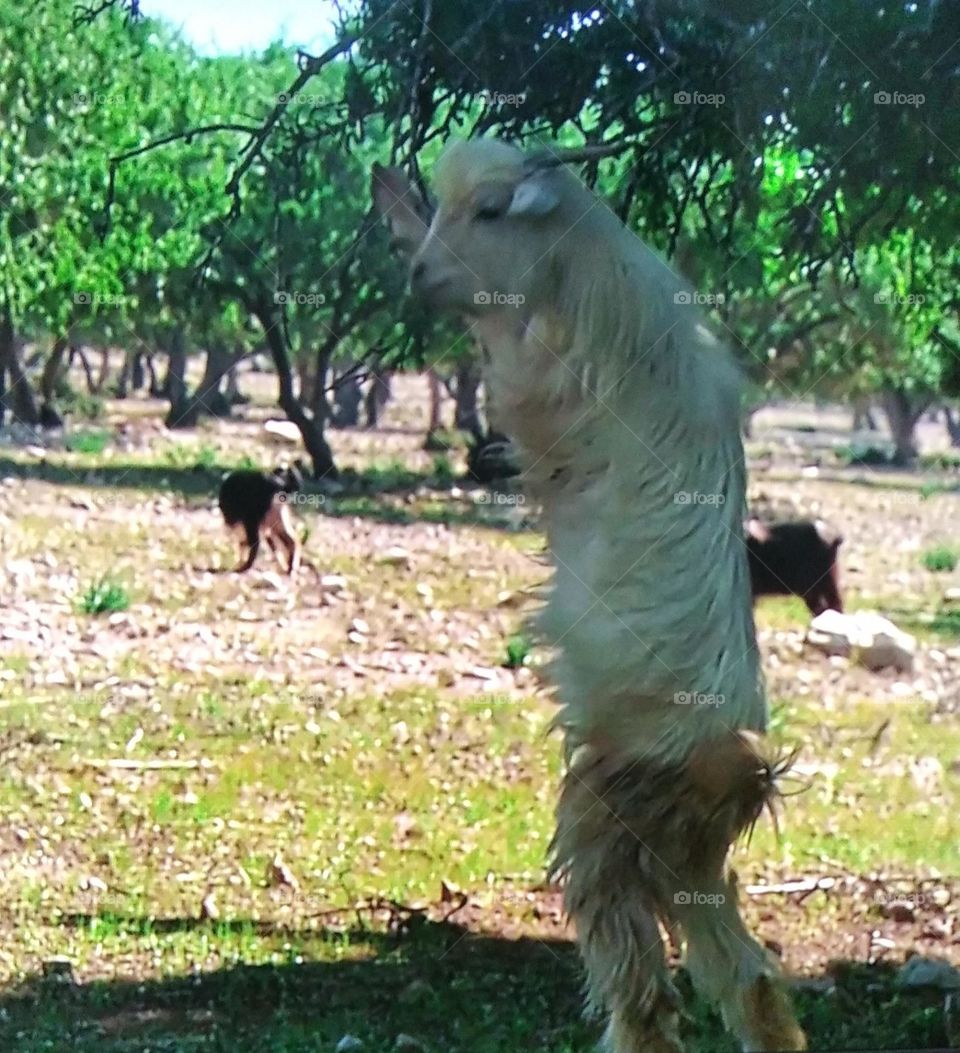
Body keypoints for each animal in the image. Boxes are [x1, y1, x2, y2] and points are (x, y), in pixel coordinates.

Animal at [373, 139, 806, 1053]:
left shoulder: (539, 380)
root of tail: (739, 765)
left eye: (492, 209)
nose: (422, 275)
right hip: (682, 854)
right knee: (742, 970)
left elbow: (501, 362)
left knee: (641, 983)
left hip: (606, 818)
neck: (585, 266)